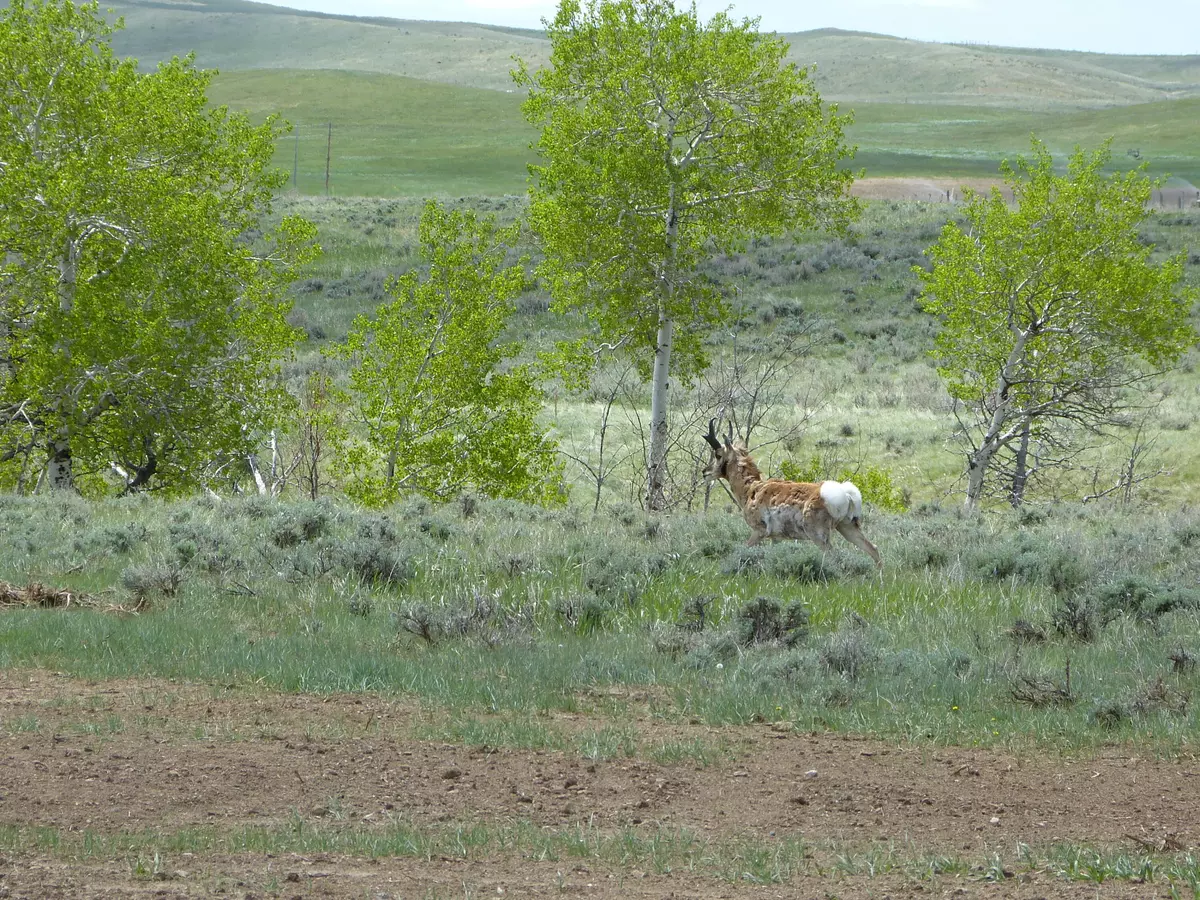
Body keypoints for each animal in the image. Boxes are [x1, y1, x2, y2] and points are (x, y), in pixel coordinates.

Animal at [700, 422, 883, 571]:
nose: (704, 472)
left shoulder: (759, 531)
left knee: (834, 556)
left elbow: (744, 548)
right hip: (847, 527)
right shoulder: (776, 538)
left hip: (819, 535)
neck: (753, 489)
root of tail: (845, 492)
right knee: (873, 549)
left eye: (718, 454)